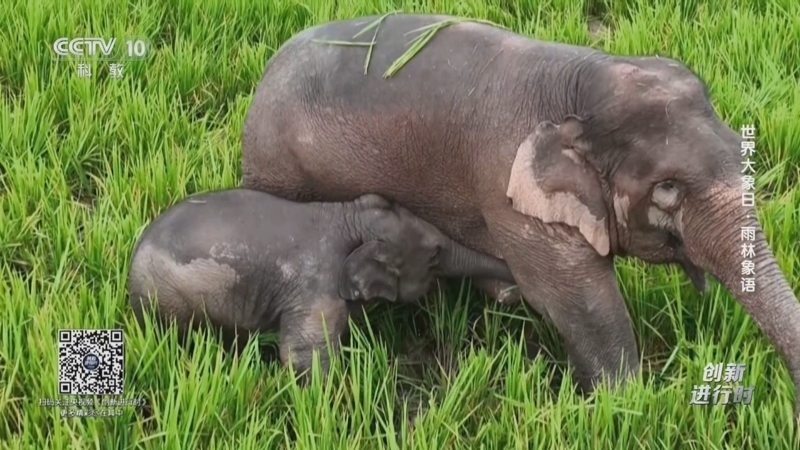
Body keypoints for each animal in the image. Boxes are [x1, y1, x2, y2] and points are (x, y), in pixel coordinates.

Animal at [127, 189, 514, 373]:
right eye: (434, 254)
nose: (511, 293)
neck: (347, 216)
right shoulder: (316, 284)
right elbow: (304, 353)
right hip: (170, 298)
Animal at [239, 13, 800, 414]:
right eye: (667, 190)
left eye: (743, 151)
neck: (586, 79)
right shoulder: (512, 198)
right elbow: (576, 298)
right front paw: (625, 403)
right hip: (279, 170)